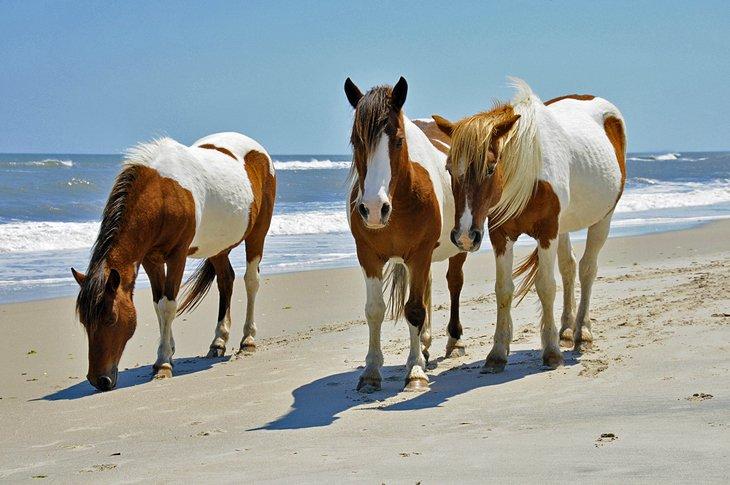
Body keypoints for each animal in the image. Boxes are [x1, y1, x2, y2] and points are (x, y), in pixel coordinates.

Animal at [71, 132, 276, 391]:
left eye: (111, 319)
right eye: (84, 321)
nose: (99, 380)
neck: (162, 195)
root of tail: (258, 149)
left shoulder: (177, 255)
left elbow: (168, 305)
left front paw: (163, 364)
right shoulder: (151, 259)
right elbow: (158, 304)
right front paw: (166, 353)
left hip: (258, 233)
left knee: (251, 281)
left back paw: (247, 340)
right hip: (217, 247)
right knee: (225, 280)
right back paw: (218, 342)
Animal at [344, 77, 467, 392]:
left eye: (399, 141)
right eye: (356, 141)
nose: (374, 209)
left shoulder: (420, 254)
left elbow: (414, 310)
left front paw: (415, 372)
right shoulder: (368, 256)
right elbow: (375, 310)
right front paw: (371, 371)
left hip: (458, 246)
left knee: (454, 284)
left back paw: (454, 342)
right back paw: (424, 344)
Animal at [433, 78, 626, 372]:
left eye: (490, 168)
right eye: (449, 169)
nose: (465, 236)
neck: (528, 174)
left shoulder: (547, 232)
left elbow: (545, 286)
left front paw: (551, 353)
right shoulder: (500, 235)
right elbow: (503, 289)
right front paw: (497, 353)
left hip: (603, 218)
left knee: (587, 270)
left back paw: (582, 333)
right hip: (564, 227)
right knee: (569, 268)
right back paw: (566, 330)